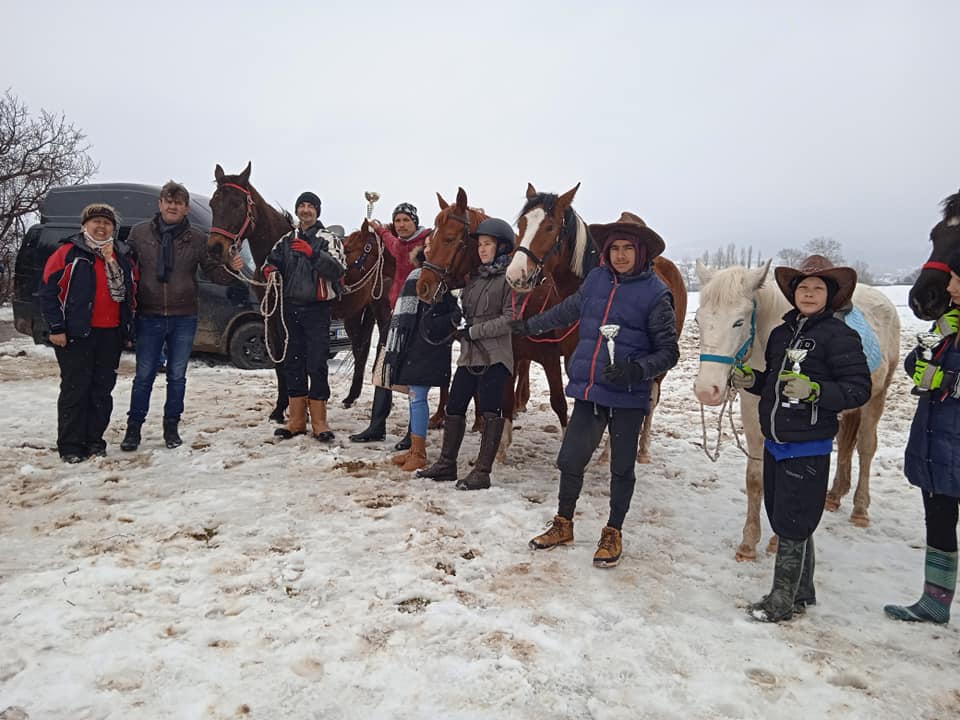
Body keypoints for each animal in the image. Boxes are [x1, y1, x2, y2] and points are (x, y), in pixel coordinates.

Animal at [693, 260, 900, 561]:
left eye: (739, 321)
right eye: (699, 320)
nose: (706, 390)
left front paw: (777, 540)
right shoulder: (752, 415)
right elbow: (755, 478)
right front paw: (748, 544)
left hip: (877, 398)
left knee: (866, 448)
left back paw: (860, 509)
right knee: (846, 445)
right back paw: (834, 496)